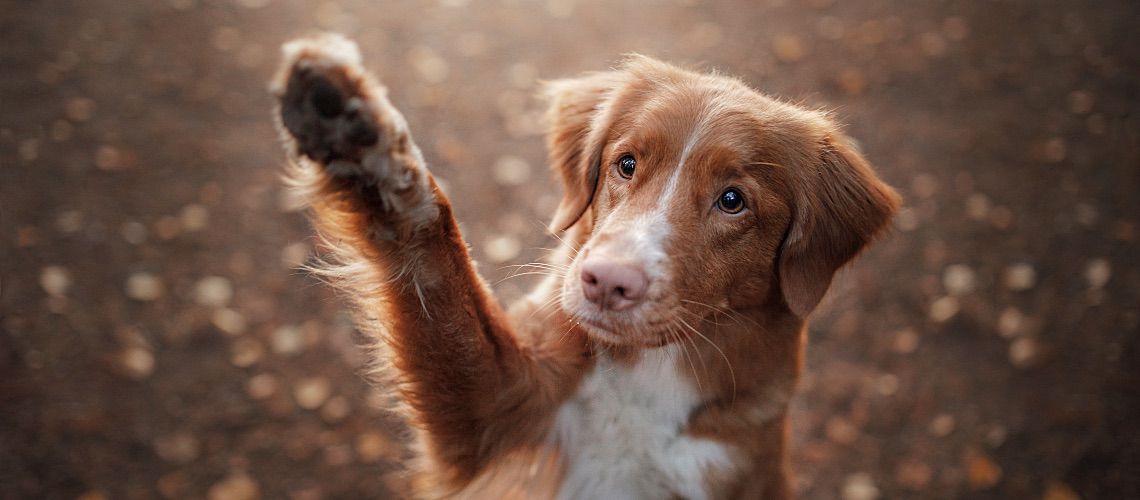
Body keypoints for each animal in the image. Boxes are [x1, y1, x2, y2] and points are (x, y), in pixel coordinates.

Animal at [269, 33, 898, 498]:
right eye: (626, 163)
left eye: (732, 200)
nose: (606, 282)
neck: (646, 384)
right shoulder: (501, 408)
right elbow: (436, 267)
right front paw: (361, 139)